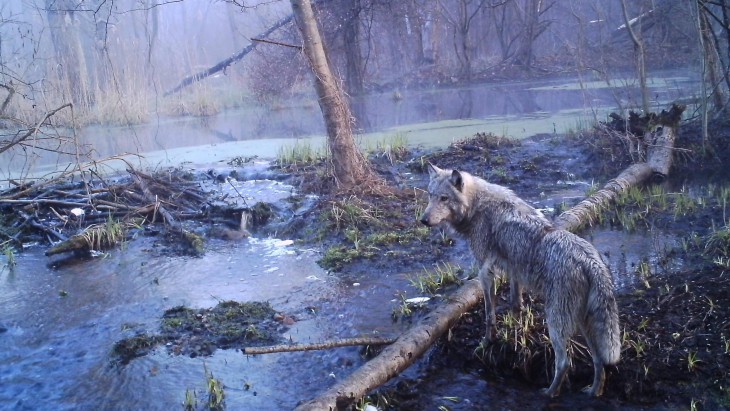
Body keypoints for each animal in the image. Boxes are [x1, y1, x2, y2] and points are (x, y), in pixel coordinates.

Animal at [418, 164, 616, 400]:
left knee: (564, 363)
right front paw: (514, 332)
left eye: (444, 198)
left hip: (556, 323)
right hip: (584, 325)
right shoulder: (514, 270)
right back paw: (594, 392)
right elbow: (515, 304)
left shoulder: (486, 272)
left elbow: (489, 315)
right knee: (599, 361)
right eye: (430, 195)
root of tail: (591, 262)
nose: (423, 220)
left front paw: (487, 342)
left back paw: (549, 393)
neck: (478, 207)